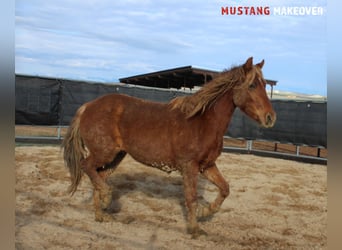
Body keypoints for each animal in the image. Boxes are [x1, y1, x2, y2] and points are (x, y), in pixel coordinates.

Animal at [62, 57, 276, 238]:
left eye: (265, 85)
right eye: (252, 85)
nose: (270, 117)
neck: (202, 121)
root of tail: (88, 106)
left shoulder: (207, 166)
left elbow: (225, 189)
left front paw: (204, 212)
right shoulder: (189, 167)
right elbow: (191, 197)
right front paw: (195, 229)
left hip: (115, 157)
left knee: (98, 176)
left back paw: (101, 215)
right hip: (104, 153)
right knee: (87, 166)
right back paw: (106, 199)